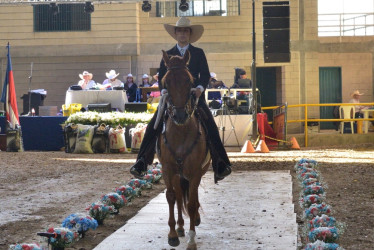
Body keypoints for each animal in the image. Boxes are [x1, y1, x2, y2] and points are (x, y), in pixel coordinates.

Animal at [156, 49, 212, 249]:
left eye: (189, 80)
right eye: (165, 82)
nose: (180, 115)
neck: (180, 133)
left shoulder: (195, 171)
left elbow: (193, 203)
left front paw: (192, 239)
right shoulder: (167, 169)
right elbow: (172, 197)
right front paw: (172, 234)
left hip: (198, 171)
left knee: (191, 198)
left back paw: (194, 220)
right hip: (177, 174)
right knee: (180, 196)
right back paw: (180, 227)